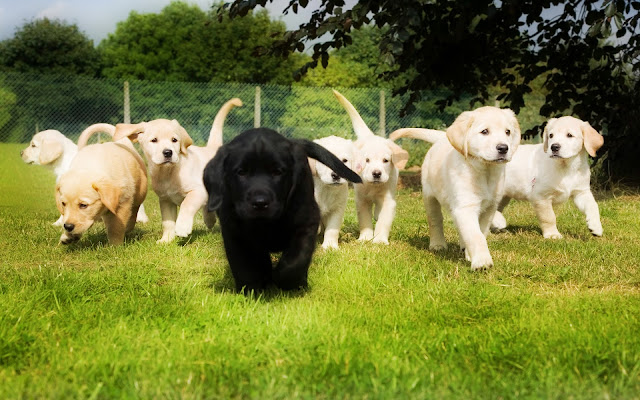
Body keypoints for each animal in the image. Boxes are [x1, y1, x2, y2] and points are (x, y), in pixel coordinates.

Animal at [114, 99, 241, 244]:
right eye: (154, 140)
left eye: (174, 140)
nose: (168, 152)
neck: (169, 172)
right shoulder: (165, 200)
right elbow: (167, 221)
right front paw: (166, 239)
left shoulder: (198, 191)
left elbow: (187, 204)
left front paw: (182, 227)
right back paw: (210, 220)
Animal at [206, 130, 364, 292]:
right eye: (241, 172)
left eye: (278, 172)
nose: (260, 202)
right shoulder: (234, 232)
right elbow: (244, 267)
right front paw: (252, 290)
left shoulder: (308, 224)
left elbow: (295, 261)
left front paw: (290, 282)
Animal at [332, 90, 408, 244]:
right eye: (366, 160)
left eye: (386, 160)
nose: (377, 173)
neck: (373, 186)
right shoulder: (361, 199)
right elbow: (365, 220)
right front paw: (365, 237)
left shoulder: (389, 200)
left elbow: (384, 221)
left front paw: (379, 240)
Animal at [390, 106, 520, 268]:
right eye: (484, 131)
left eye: (507, 132)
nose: (503, 148)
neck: (485, 172)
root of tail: (441, 138)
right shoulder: (465, 206)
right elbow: (476, 236)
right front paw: (482, 262)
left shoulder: (489, 208)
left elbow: (481, 232)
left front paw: (472, 255)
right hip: (430, 196)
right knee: (435, 221)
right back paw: (438, 244)